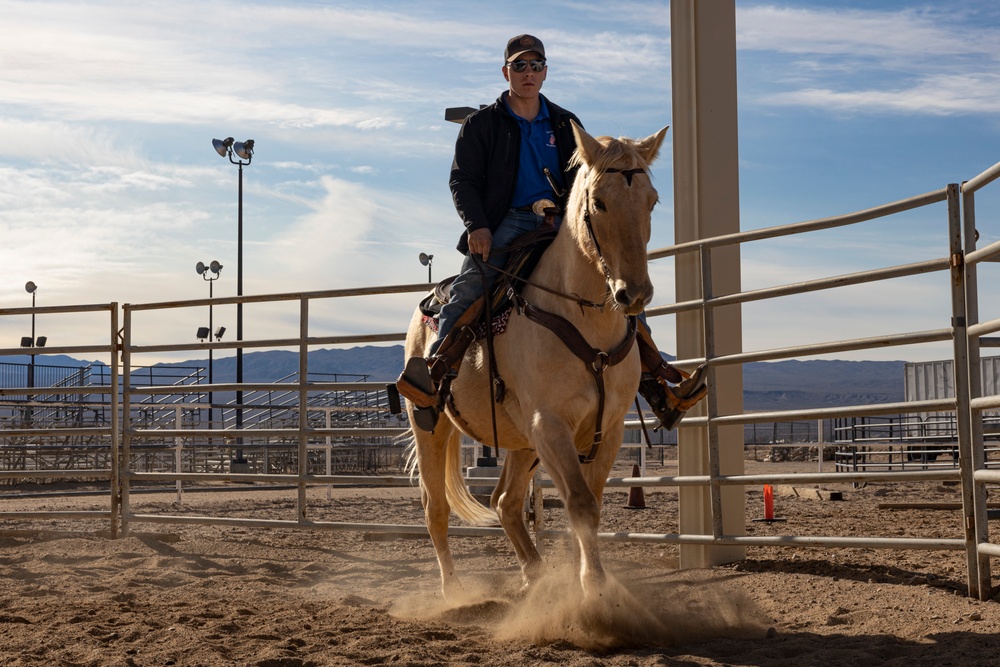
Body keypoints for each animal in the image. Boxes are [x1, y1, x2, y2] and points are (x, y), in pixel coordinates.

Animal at [402, 122, 668, 604]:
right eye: (599, 201)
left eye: (652, 200)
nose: (634, 293)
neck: (584, 320)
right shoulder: (551, 424)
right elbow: (580, 504)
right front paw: (594, 592)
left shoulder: (608, 429)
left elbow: (591, 503)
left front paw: (585, 582)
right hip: (431, 424)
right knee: (437, 509)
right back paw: (454, 590)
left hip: (521, 440)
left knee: (505, 503)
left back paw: (536, 576)